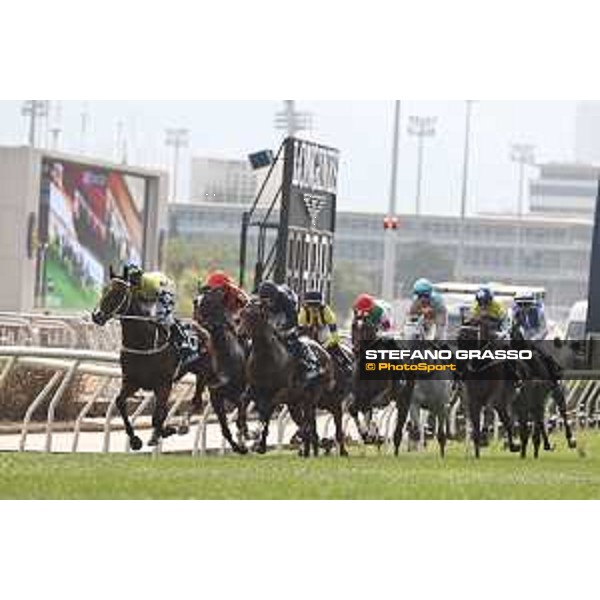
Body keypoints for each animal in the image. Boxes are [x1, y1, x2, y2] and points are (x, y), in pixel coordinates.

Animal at [90, 268, 210, 450]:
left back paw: (182, 425)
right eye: (104, 290)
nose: (96, 316)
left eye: (117, 293)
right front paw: (135, 440)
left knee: (197, 400)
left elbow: (158, 416)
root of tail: (201, 327)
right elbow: (120, 402)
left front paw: (165, 431)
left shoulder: (163, 384)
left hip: (202, 371)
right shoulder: (132, 381)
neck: (142, 342)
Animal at [238, 302, 338, 458]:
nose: (240, 334)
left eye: (253, 316)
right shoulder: (253, 389)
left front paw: (258, 441)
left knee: (307, 423)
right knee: (307, 426)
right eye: (241, 314)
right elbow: (243, 403)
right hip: (294, 404)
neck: (265, 357)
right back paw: (308, 450)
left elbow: (265, 414)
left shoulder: (277, 393)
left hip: (311, 397)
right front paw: (246, 431)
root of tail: (325, 353)